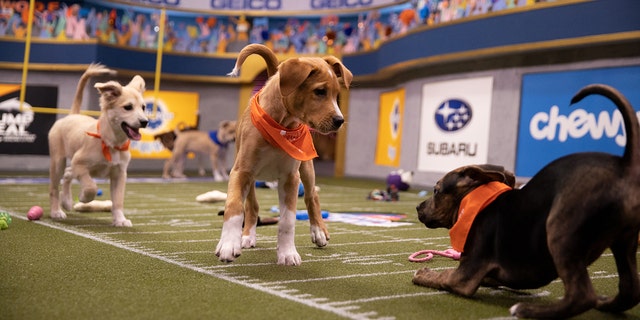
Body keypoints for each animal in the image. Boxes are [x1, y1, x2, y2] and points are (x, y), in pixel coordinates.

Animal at [48, 63, 148, 228]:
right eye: (128, 107)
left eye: (144, 107)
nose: (145, 122)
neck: (111, 143)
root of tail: (72, 115)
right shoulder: (79, 163)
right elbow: (91, 187)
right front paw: (83, 198)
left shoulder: (119, 174)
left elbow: (118, 200)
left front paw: (120, 219)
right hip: (57, 162)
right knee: (54, 188)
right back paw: (56, 211)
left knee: (68, 173)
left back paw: (67, 201)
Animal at [216, 44, 356, 264]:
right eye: (320, 91)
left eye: (336, 95)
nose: (339, 121)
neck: (282, 125)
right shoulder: (241, 171)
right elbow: (234, 206)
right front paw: (229, 244)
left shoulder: (291, 177)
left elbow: (288, 220)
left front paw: (288, 253)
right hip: (252, 178)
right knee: (252, 206)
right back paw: (247, 236)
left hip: (306, 167)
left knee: (312, 195)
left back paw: (319, 231)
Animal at [412, 84, 640, 318]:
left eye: (436, 190)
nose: (418, 207)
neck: (474, 204)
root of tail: (625, 165)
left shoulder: (464, 276)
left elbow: (442, 276)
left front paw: (423, 272)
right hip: (625, 240)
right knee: (629, 291)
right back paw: (605, 303)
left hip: (561, 230)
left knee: (582, 295)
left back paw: (528, 310)